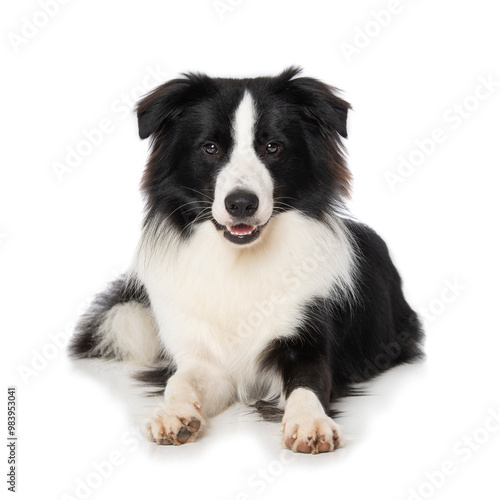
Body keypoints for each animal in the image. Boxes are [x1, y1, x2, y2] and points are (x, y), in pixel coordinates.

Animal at [68, 68, 424, 456]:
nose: (241, 203)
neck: (241, 260)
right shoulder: (206, 361)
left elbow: (308, 385)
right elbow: (179, 381)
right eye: (210, 148)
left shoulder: (308, 341)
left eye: (273, 147)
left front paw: (309, 423)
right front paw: (173, 414)